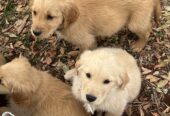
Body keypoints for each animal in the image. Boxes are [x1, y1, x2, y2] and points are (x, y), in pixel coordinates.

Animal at [30, 0, 161, 51]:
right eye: (34, 12)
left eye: (50, 17)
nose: (35, 32)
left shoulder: (87, 40)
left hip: (135, 23)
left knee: (148, 30)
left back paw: (139, 45)